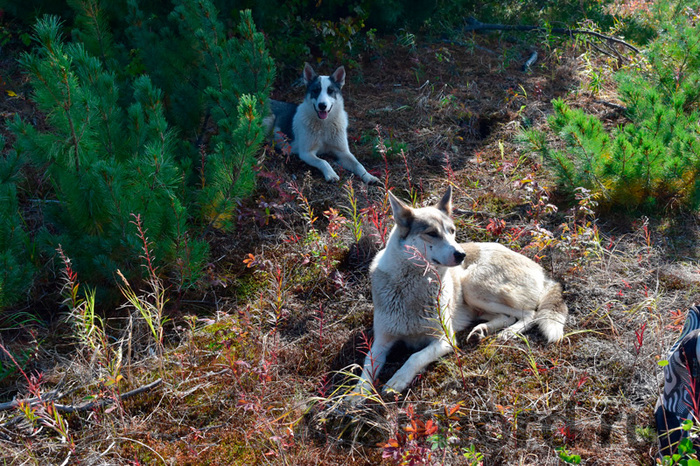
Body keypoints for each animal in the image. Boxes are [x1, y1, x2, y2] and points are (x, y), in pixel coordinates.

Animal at [350, 187, 568, 398]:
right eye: (432, 233)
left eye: (452, 231)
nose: (461, 254)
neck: (412, 287)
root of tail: (542, 271)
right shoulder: (380, 343)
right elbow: (366, 369)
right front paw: (355, 396)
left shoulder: (445, 340)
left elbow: (415, 356)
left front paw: (396, 381)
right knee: (506, 316)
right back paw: (481, 331)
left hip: (473, 285)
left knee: (529, 313)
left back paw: (508, 333)